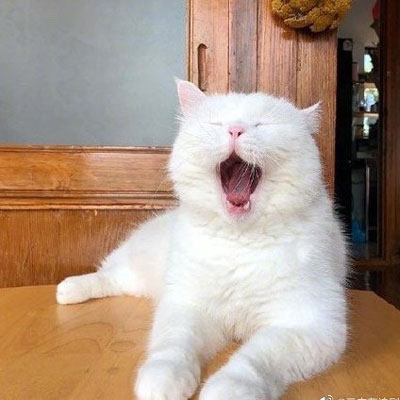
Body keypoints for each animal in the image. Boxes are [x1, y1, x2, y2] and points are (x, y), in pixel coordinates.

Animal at [57, 79, 348, 400]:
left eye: (262, 124)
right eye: (216, 123)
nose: (235, 130)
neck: (238, 241)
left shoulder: (307, 324)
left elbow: (254, 359)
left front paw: (228, 389)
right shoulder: (187, 304)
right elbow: (173, 346)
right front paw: (163, 382)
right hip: (140, 270)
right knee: (109, 274)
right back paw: (68, 290)